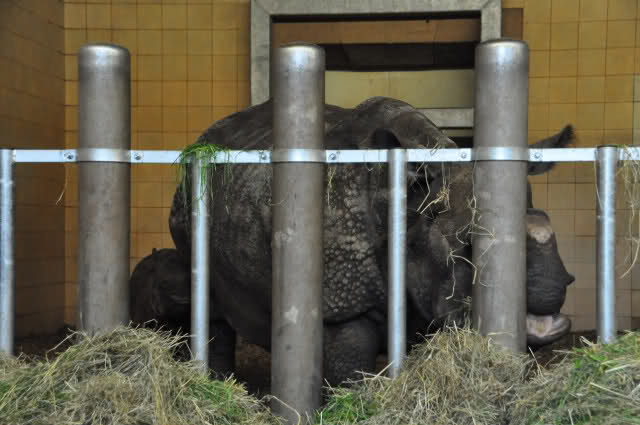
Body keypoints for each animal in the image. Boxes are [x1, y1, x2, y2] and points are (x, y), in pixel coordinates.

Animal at [131, 97, 576, 386]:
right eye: (468, 246)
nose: (548, 298)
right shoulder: (343, 303)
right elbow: (351, 368)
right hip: (186, 209)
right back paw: (220, 386)